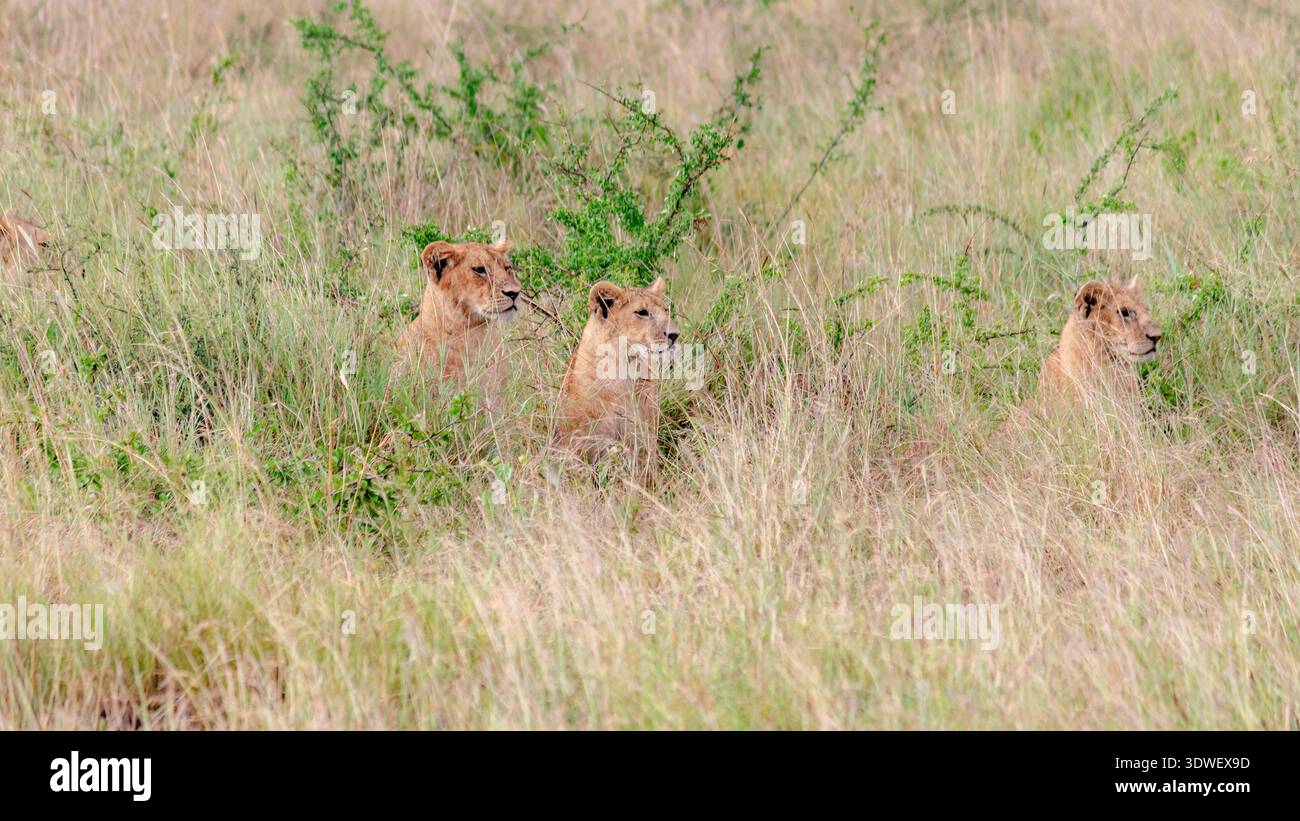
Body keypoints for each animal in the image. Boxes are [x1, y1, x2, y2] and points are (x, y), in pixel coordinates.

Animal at [556, 278, 680, 476]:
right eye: (642, 312)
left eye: (666, 310)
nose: (675, 334)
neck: (626, 372)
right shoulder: (579, 441)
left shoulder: (645, 437)